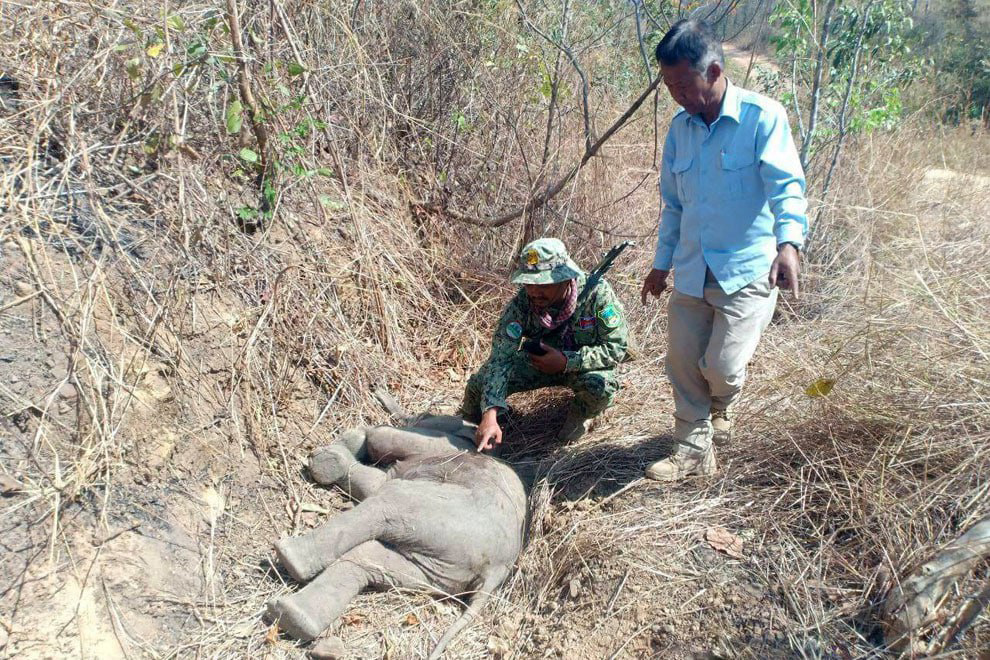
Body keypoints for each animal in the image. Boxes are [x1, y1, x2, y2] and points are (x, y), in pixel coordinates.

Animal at [267, 415, 528, 659]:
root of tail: (496, 570)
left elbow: (379, 444)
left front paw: (342, 445)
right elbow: (373, 482)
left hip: (443, 521)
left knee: (385, 503)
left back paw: (289, 558)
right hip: (444, 571)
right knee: (371, 556)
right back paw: (293, 617)